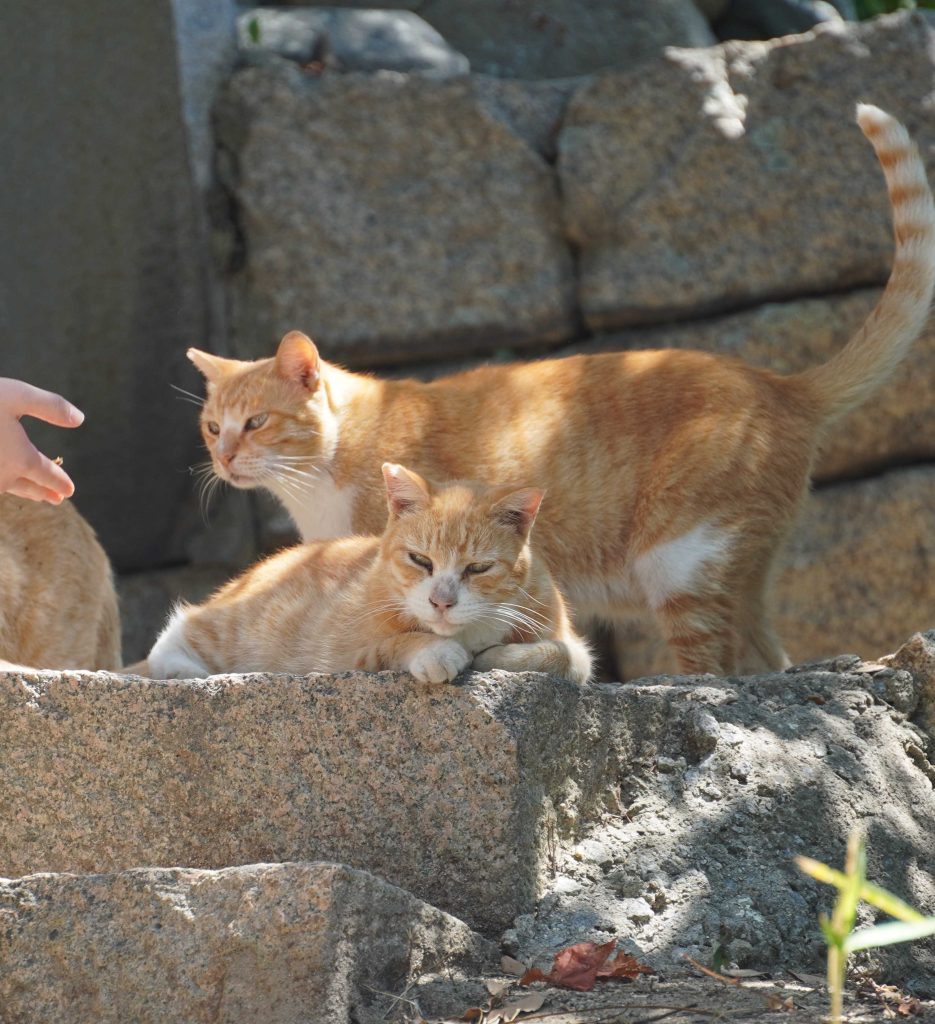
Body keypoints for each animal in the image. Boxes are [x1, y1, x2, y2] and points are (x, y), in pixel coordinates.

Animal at [133, 463, 592, 684]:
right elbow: (402, 641)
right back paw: (184, 670)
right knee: (180, 627)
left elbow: (563, 655)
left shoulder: (568, 640)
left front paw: (496, 655)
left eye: (478, 568)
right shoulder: (349, 656)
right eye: (420, 560)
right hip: (234, 625)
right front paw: (440, 652)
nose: (441, 602)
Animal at [185, 104, 935, 677]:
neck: (321, 476)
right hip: (736, 568)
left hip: (679, 558)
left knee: (714, 667)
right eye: (211, 426)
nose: (224, 457)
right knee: (766, 659)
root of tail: (780, 383)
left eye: (255, 423)